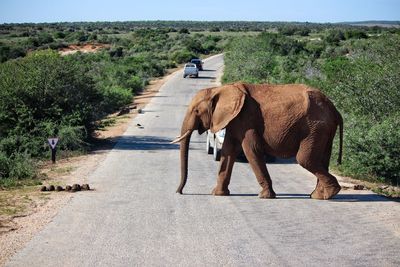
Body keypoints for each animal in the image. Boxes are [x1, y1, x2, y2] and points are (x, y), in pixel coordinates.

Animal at [172, 82, 344, 200]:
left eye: (196, 111)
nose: (179, 192)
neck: (220, 89)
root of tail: (335, 109)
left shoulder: (247, 119)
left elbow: (251, 149)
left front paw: (264, 196)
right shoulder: (235, 120)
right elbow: (228, 151)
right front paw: (218, 194)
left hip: (315, 127)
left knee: (305, 159)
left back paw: (329, 193)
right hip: (323, 129)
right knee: (321, 159)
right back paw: (319, 196)